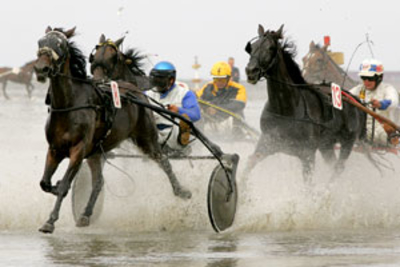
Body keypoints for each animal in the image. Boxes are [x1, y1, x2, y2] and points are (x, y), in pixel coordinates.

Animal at [32, 26, 192, 233]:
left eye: (60, 44)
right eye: (40, 42)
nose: (40, 68)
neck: (70, 104)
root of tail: (134, 89)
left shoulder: (78, 150)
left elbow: (65, 184)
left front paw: (50, 221)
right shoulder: (55, 149)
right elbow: (45, 183)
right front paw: (55, 187)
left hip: (146, 138)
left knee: (163, 161)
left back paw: (182, 191)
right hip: (96, 152)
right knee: (99, 182)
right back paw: (85, 215)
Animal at [244, 24, 366, 183]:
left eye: (270, 48)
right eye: (251, 47)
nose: (250, 71)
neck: (286, 109)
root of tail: (354, 99)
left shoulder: (307, 154)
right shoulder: (268, 142)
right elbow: (248, 165)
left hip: (347, 141)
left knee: (338, 168)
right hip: (326, 145)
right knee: (333, 164)